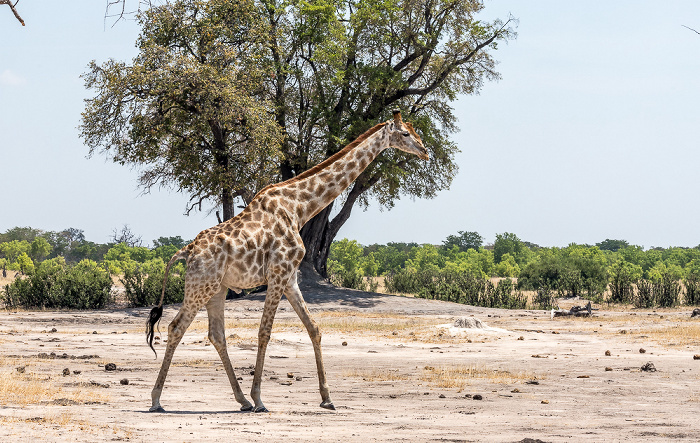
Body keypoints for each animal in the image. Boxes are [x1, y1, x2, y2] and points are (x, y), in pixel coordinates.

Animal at [146, 109, 426, 414]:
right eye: (405, 133)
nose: (424, 150)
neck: (299, 208)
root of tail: (187, 250)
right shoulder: (278, 273)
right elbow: (264, 332)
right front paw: (260, 399)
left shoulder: (290, 278)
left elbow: (314, 328)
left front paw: (327, 398)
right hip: (200, 286)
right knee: (176, 327)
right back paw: (157, 399)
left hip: (217, 289)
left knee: (216, 335)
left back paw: (241, 400)